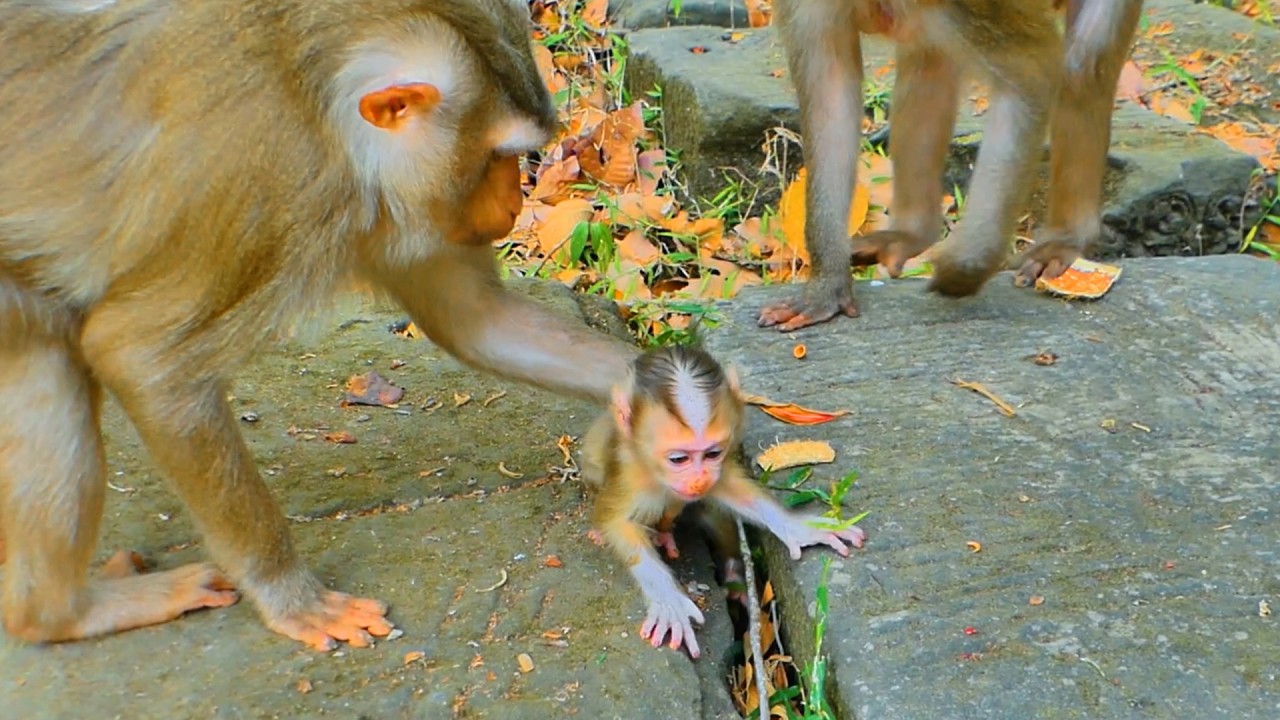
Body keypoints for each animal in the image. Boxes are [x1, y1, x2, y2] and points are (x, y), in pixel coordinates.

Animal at [0, 0, 639, 651]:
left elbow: (474, 319)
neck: (320, 109)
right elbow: (140, 359)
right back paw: (68, 612)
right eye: (496, 156)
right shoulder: (273, 191)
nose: (514, 205)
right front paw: (289, 595)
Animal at [580, 345, 866, 658]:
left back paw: (732, 575)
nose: (699, 480)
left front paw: (797, 527)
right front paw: (669, 601)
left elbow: (731, 489)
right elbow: (616, 521)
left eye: (713, 454)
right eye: (678, 459)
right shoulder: (631, 475)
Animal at [757, 0, 1145, 331]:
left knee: (1083, 67)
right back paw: (913, 233)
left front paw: (965, 268)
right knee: (927, 62)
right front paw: (827, 289)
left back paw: (1067, 238)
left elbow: (1032, 75)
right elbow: (830, 93)